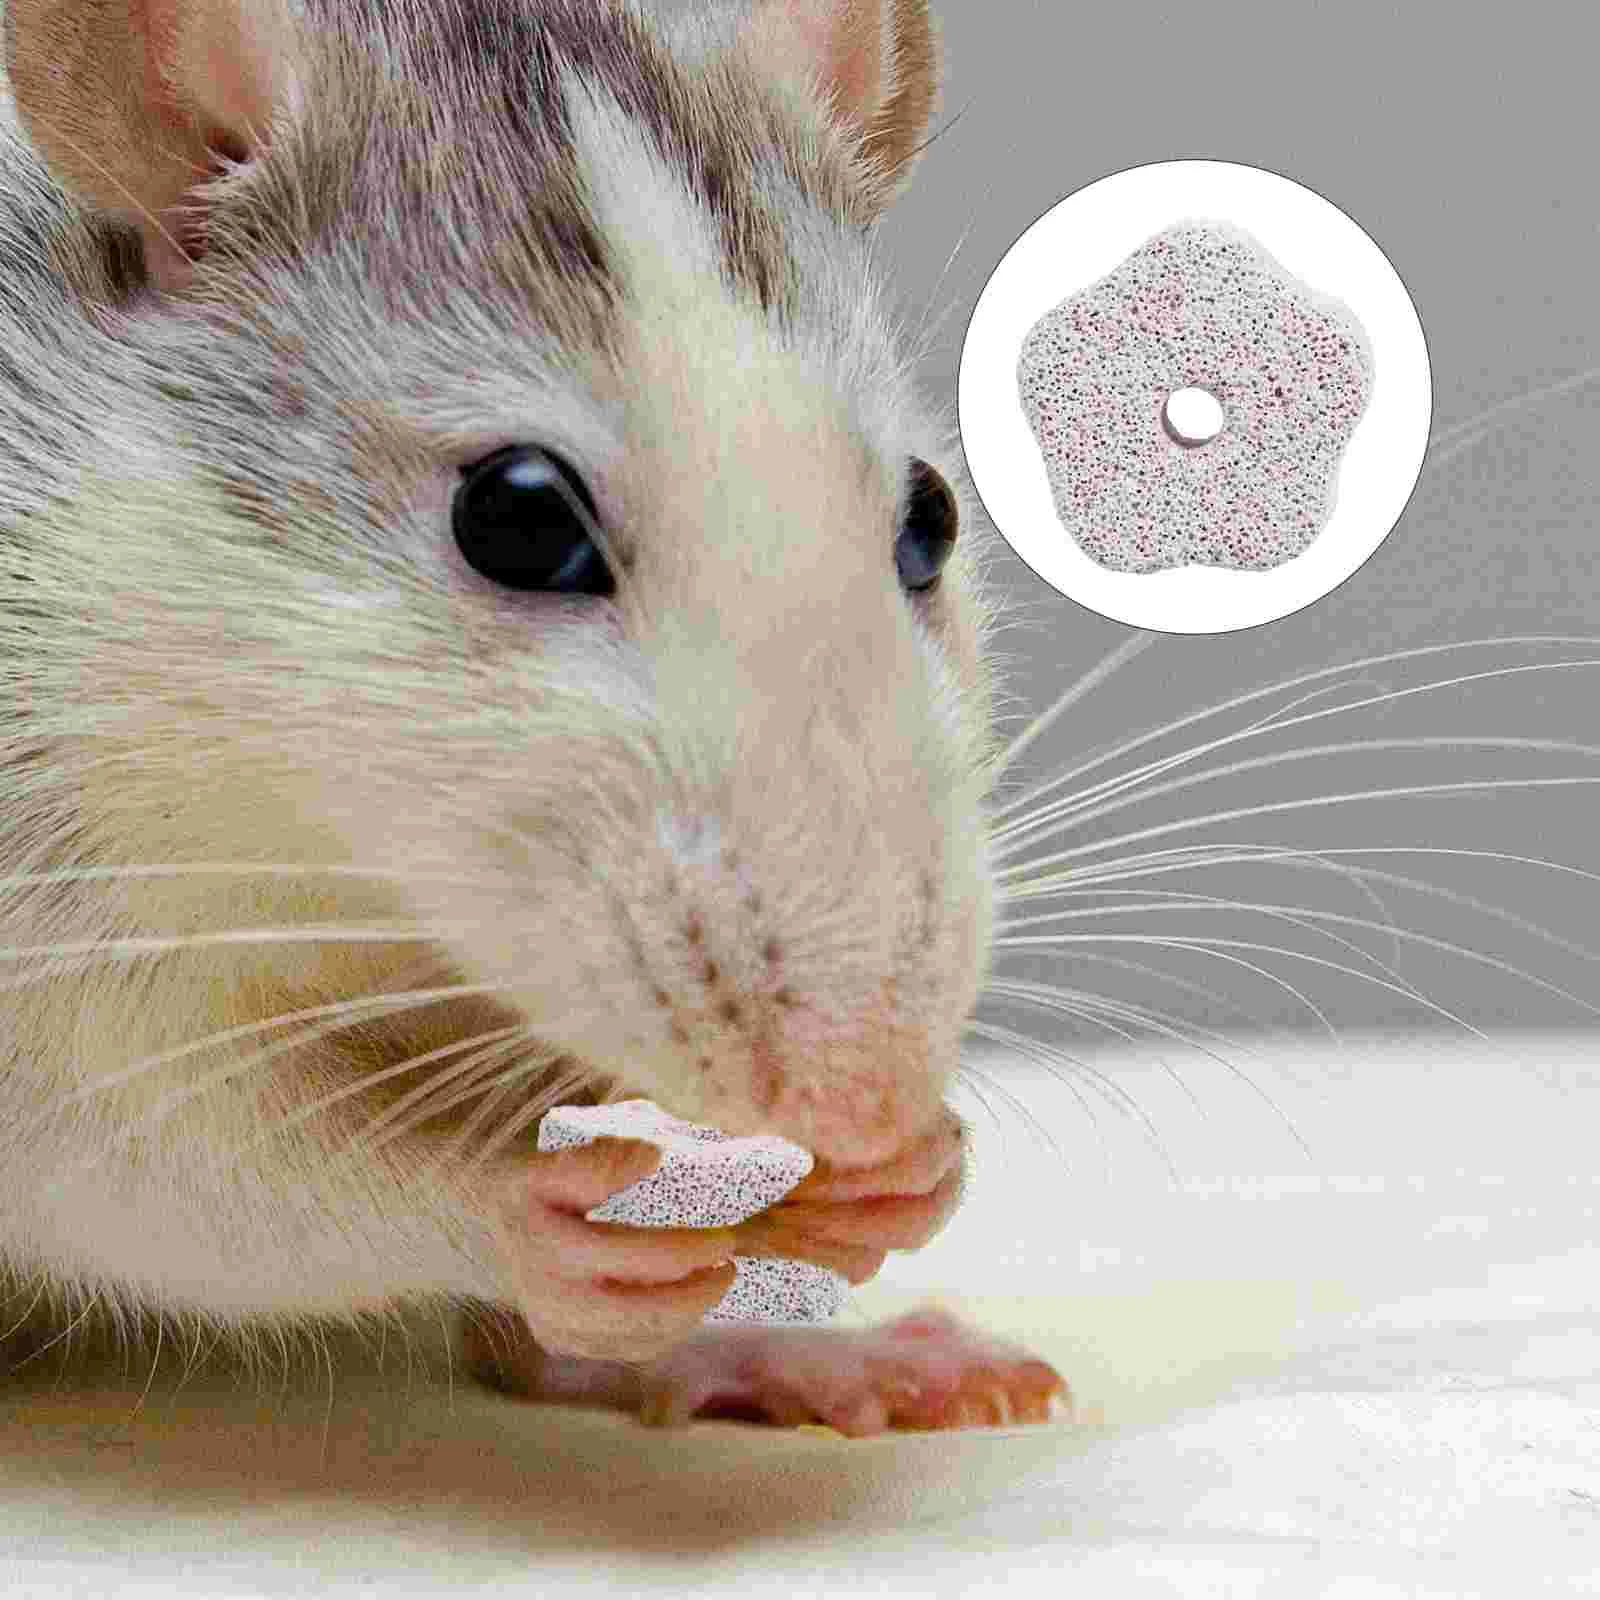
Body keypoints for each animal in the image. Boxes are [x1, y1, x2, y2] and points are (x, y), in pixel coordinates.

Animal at [0, 0, 1068, 1435]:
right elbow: (153, 1167)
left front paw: (903, 1173)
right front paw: (519, 1209)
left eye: (930, 518)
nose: (866, 1094)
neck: (357, 902)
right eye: (517, 516)